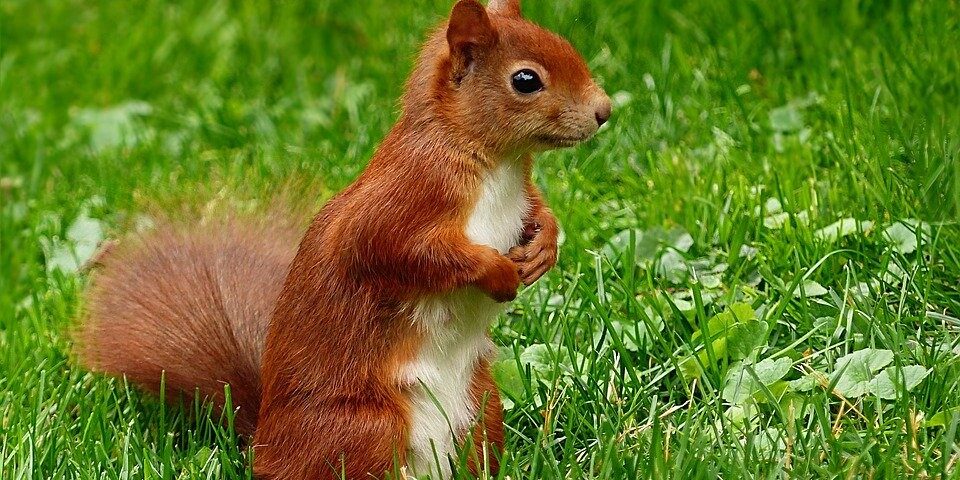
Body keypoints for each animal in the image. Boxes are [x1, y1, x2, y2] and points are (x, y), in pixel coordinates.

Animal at [76, 0, 611, 478]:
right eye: (526, 80)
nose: (605, 110)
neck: (497, 163)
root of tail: (265, 444)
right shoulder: (403, 199)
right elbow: (400, 252)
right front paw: (497, 271)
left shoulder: (518, 194)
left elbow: (537, 210)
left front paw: (544, 247)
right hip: (365, 427)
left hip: (483, 409)